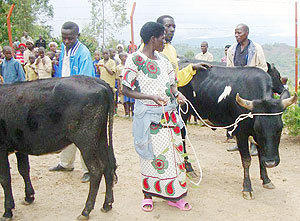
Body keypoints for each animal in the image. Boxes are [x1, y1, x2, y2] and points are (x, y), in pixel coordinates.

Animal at [0, 75, 116, 220]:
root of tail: (96, 81)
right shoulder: (20, 145)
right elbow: (24, 170)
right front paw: (29, 197)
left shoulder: (2, 148)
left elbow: (5, 179)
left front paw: (7, 211)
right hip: (100, 138)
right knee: (108, 166)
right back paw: (107, 204)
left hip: (86, 140)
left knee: (96, 170)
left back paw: (86, 211)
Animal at [177, 63, 296, 199]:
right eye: (258, 128)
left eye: (280, 128)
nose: (271, 162)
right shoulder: (241, 133)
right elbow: (246, 160)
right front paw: (247, 188)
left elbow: (261, 156)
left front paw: (266, 179)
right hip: (183, 112)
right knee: (182, 138)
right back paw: (189, 168)